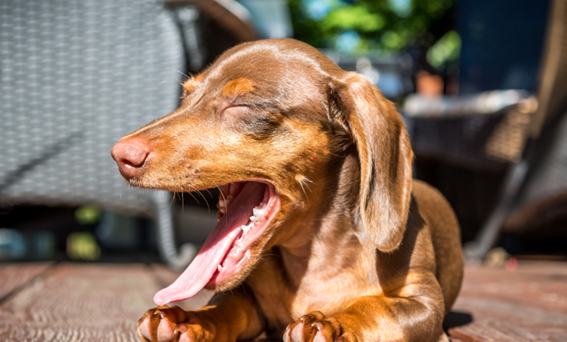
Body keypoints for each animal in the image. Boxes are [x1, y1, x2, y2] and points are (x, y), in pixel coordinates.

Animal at [112, 38, 466, 342]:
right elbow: (227, 310)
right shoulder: (250, 302)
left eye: (242, 104)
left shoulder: (423, 303)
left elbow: (373, 307)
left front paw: (333, 325)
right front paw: (189, 319)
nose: (119, 155)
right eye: (185, 98)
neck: (314, 256)